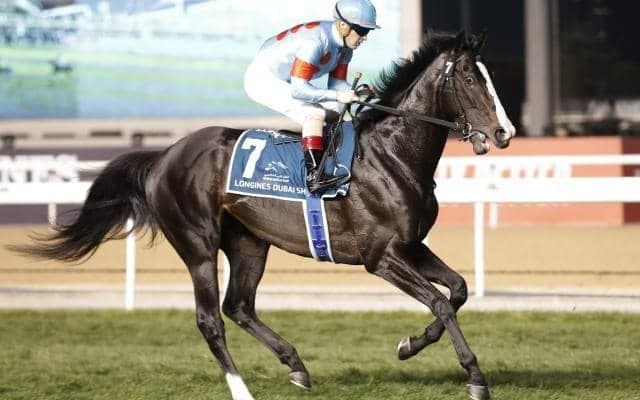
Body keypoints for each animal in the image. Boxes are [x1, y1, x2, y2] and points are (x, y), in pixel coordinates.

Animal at [11, 31, 515, 400]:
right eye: (470, 78)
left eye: (488, 76)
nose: (504, 133)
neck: (392, 157)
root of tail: (165, 155)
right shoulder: (381, 256)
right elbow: (440, 302)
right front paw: (474, 376)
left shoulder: (411, 245)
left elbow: (458, 290)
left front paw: (409, 345)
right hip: (198, 244)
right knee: (210, 318)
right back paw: (241, 389)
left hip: (249, 241)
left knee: (238, 305)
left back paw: (297, 366)